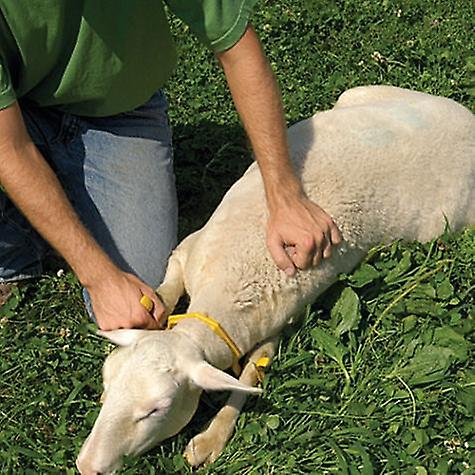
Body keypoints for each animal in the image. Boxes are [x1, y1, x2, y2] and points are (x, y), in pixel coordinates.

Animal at [76, 86, 474, 475]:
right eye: (107, 378)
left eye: (157, 409)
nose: (86, 466)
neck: (228, 286)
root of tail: (466, 120)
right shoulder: (187, 252)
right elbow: (164, 291)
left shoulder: (278, 326)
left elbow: (250, 377)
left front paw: (210, 440)